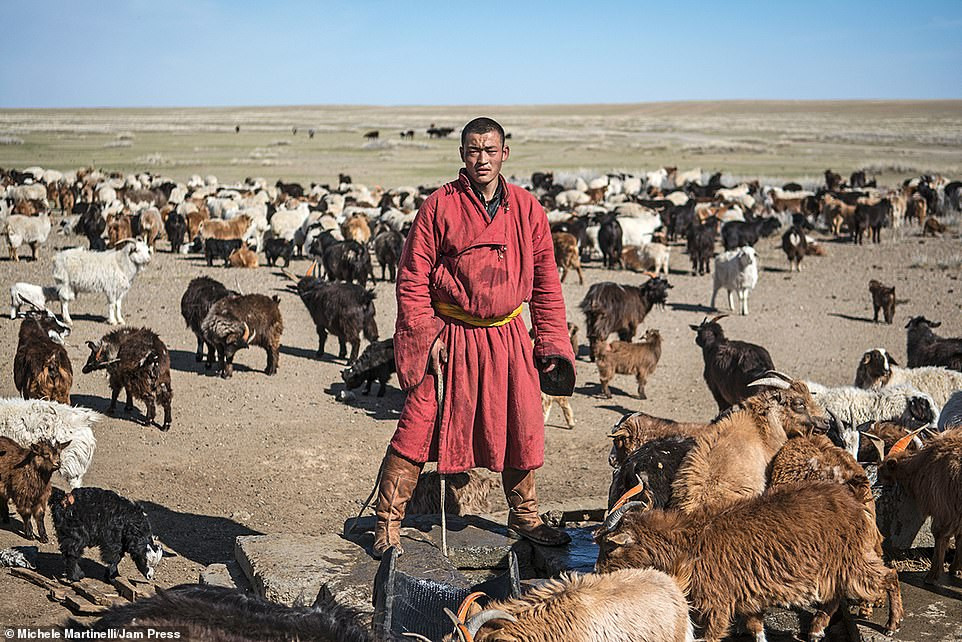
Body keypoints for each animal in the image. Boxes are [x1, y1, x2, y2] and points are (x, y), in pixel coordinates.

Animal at [596, 480, 904, 640]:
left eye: (609, 547)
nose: (597, 571)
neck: (689, 542)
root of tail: (854, 504)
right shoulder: (748, 600)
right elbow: (757, 631)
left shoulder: (718, 603)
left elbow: (712, 634)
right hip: (834, 567)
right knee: (834, 597)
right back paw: (816, 629)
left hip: (850, 562)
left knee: (889, 576)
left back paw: (892, 624)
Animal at [876, 428, 960, 584]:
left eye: (885, 468)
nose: (878, 478)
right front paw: (955, 569)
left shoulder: (944, 507)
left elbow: (939, 534)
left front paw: (932, 576)